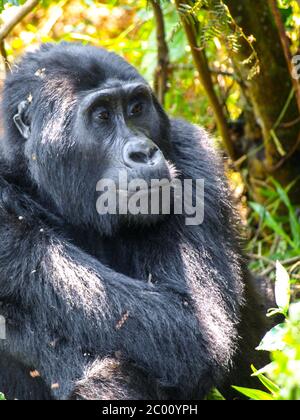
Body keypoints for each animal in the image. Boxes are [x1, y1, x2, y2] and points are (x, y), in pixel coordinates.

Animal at [0, 43, 268, 400]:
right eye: (102, 116)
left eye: (137, 109)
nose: (143, 152)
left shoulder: (194, 152)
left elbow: (191, 324)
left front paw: (10, 239)